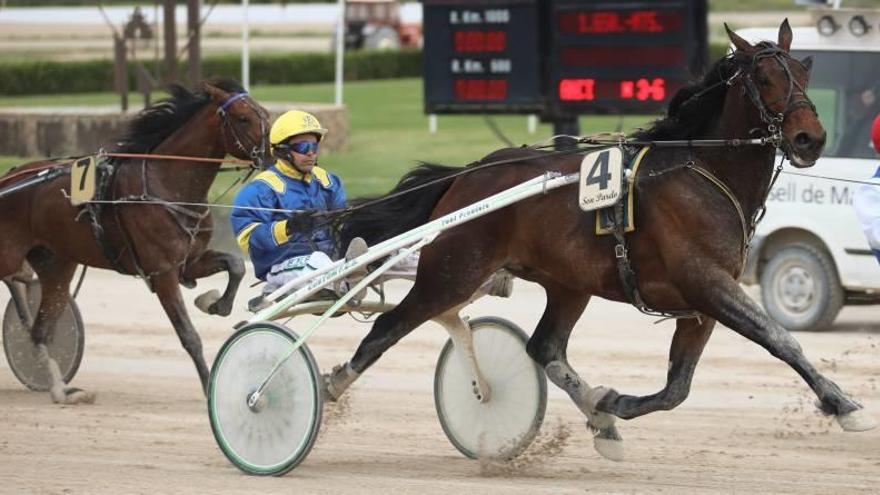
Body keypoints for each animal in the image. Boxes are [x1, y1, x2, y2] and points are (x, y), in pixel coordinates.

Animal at [0, 77, 272, 404]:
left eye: (264, 113)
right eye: (243, 118)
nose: (274, 153)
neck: (166, 184)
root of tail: (10, 178)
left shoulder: (189, 261)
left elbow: (236, 266)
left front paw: (214, 303)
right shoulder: (162, 271)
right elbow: (189, 336)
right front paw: (209, 386)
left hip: (57, 264)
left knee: (39, 329)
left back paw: (61, 391)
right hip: (9, 254)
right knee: (18, 288)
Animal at [206, 22, 872, 476]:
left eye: (804, 71)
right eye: (764, 78)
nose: (809, 138)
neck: (699, 173)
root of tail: (467, 177)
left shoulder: (700, 303)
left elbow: (678, 387)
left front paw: (612, 404)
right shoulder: (707, 283)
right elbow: (781, 341)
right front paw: (844, 405)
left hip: (567, 283)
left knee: (542, 347)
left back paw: (594, 415)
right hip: (451, 270)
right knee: (387, 328)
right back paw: (315, 388)